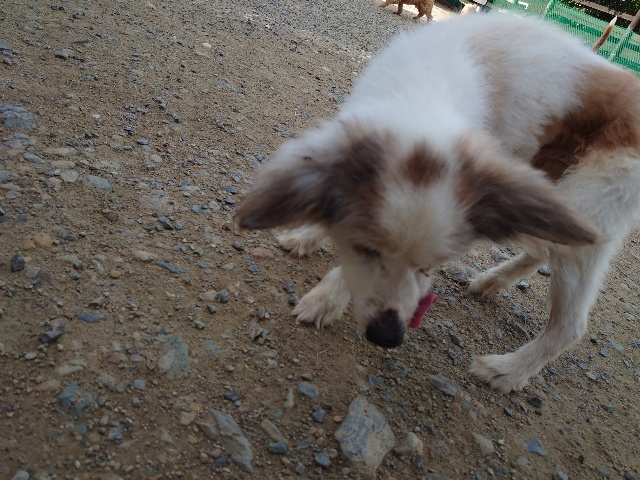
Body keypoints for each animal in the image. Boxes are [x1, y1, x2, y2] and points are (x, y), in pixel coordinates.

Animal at [237, 13, 640, 393]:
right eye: (367, 249)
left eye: (429, 266)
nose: (388, 336)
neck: (422, 92)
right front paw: (305, 235)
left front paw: (326, 299)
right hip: (546, 199)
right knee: (541, 251)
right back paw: (491, 282)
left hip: (585, 216)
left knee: (570, 324)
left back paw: (507, 371)